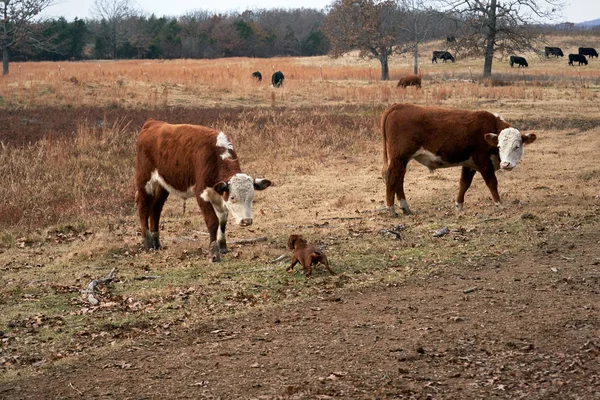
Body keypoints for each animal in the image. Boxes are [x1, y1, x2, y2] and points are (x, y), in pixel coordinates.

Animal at [136, 119, 272, 262]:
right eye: (233, 197)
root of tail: (153, 122)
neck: (215, 158)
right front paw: (214, 253)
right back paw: (147, 242)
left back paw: (157, 243)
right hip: (144, 180)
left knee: (156, 209)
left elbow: (222, 220)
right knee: (143, 207)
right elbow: (213, 222)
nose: (247, 221)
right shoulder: (201, 194)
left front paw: (222, 246)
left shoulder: (219, 195)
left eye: (252, 197)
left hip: (163, 184)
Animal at [382, 103, 536, 216]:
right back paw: (391, 209)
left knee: (399, 178)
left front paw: (459, 206)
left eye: (517, 146)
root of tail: (399, 106)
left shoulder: (470, 163)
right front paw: (499, 204)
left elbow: (464, 184)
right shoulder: (483, 161)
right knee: (393, 177)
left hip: (402, 160)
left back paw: (405, 207)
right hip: (399, 157)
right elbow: (492, 182)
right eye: (499, 146)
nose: (506, 164)